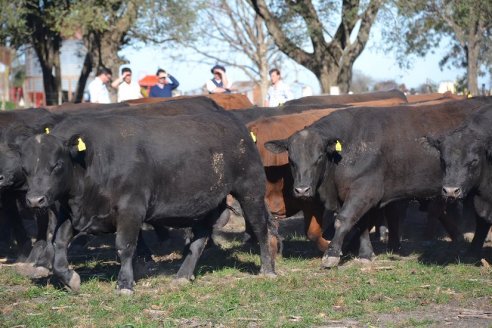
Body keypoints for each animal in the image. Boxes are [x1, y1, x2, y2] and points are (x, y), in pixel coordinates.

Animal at [21, 107, 274, 292]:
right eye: (26, 169)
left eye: (56, 164)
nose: (35, 200)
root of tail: (237, 125)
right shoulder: (72, 212)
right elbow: (59, 242)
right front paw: (69, 278)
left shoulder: (131, 209)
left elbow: (124, 246)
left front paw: (125, 284)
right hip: (207, 204)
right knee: (199, 238)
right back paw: (183, 275)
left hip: (250, 191)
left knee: (260, 228)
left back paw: (268, 269)